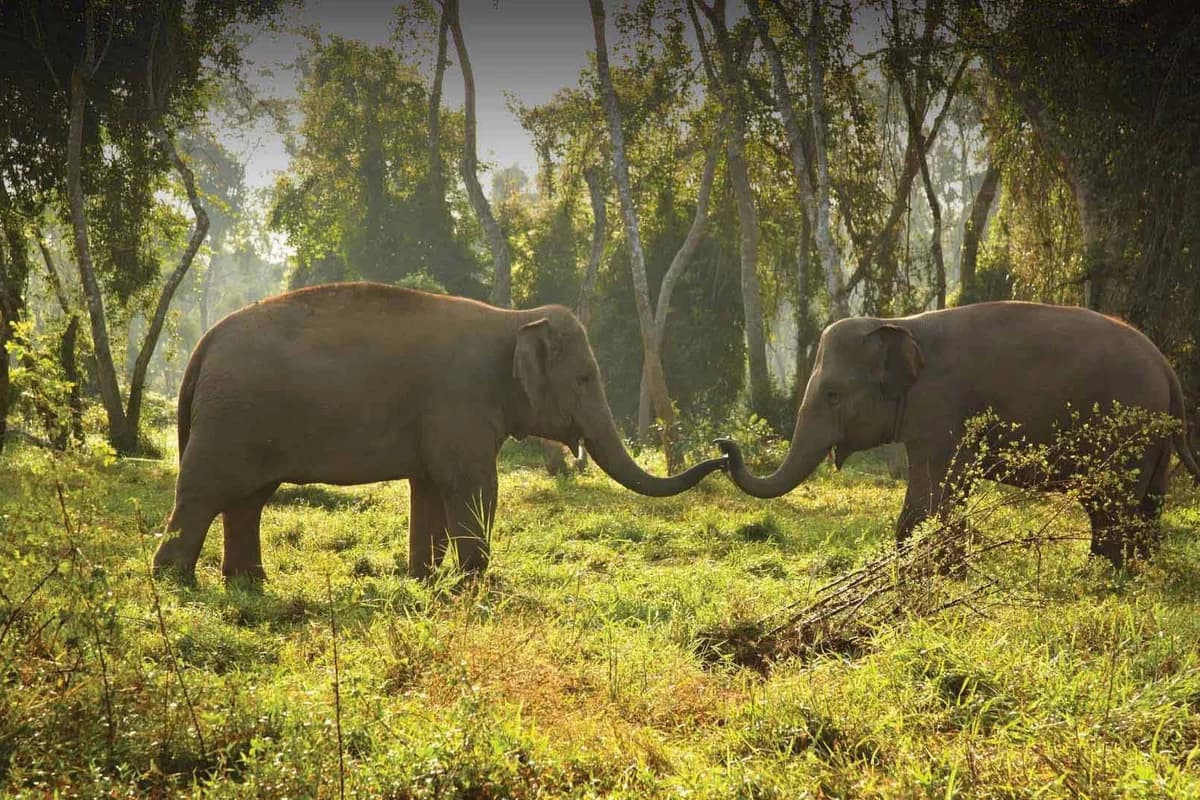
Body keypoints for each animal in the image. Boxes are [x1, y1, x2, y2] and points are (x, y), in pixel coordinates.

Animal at [153, 283, 726, 583]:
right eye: (585, 378)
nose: (726, 451)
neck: (513, 320)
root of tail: (202, 347)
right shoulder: (460, 401)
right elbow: (472, 485)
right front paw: (473, 583)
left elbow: (428, 488)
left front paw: (423, 581)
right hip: (231, 418)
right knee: (205, 491)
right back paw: (177, 582)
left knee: (248, 499)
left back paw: (248, 584)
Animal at [716, 301, 1200, 568]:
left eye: (833, 395)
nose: (723, 445)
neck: (898, 322)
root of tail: (1167, 369)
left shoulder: (941, 405)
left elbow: (935, 492)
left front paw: (934, 573)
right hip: (1153, 438)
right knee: (1145, 503)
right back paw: (1135, 571)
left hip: (1129, 430)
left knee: (1109, 503)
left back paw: (1100, 573)